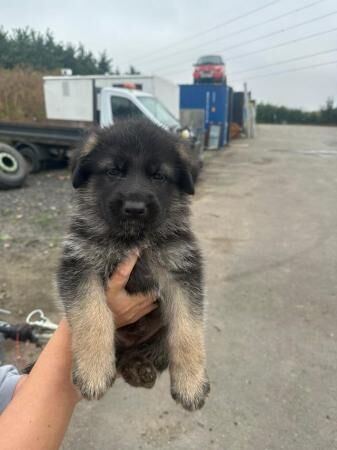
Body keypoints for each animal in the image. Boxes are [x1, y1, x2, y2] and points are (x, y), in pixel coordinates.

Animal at [57, 119, 210, 412]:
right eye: (114, 171)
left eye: (158, 176)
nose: (135, 207)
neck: (132, 240)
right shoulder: (79, 264)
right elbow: (93, 315)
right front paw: (93, 370)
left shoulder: (182, 272)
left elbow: (187, 330)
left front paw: (191, 384)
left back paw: (139, 368)